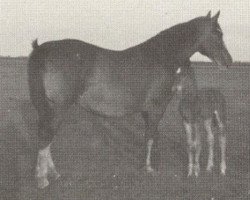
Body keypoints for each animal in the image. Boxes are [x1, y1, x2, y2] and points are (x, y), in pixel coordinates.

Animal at [27, 11, 232, 189]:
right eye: (217, 33)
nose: (229, 62)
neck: (160, 55)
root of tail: (42, 50)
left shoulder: (147, 111)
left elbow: (150, 136)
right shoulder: (156, 109)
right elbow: (150, 136)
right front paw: (149, 168)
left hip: (48, 109)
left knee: (46, 138)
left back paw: (52, 174)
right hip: (56, 109)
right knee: (45, 137)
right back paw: (42, 179)